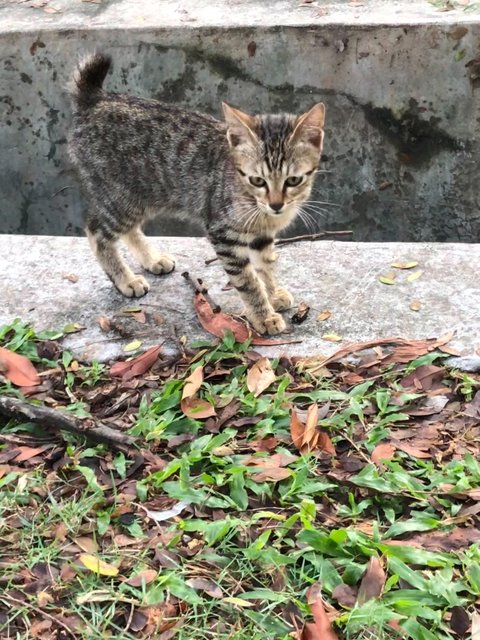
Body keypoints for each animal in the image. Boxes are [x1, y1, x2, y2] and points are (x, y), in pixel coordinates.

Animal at [68, 51, 326, 336]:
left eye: (293, 180)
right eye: (258, 180)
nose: (276, 205)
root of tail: (95, 99)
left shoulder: (261, 235)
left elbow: (265, 265)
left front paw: (273, 292)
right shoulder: (224, 233)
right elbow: (247, 280)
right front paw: (263, 316)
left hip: (137, 196)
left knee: (127, 229)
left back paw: (152, 259)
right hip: (121, 197)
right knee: (96, 232)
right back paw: (126, 280)